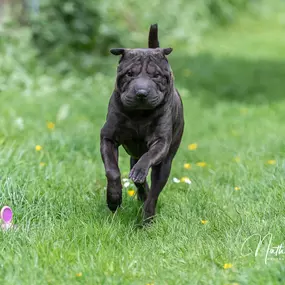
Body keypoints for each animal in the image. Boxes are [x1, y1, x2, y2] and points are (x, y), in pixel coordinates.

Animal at [100, 23, 184, 221]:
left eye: (156, 76)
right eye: (129, 74)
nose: (141, 92)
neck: (139, 114)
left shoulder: (161, 141)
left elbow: (149, 156)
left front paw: (140, 171)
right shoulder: (108, 138)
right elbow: (112, 171)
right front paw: (113, 199)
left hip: (166, 162)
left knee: (154, 191)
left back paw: (147, 218)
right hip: (133, 155)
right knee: (142, 183)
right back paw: (141, 195)